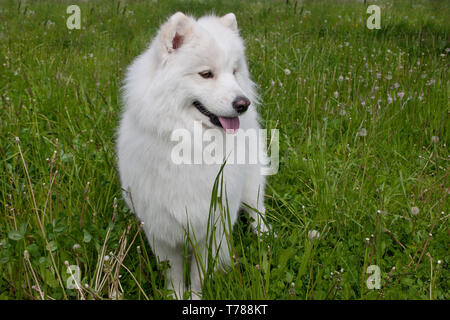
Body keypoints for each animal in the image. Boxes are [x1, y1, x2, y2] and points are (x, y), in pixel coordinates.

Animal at [118, 11, 268, 298]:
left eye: (233, 72)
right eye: (206, 74)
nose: (243, 103)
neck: (192, 145)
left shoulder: (212, 226)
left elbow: (200, 274)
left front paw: (196, 296)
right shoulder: (161, 230)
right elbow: (174, 273)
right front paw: (177, 294)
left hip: (250, 184)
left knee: (258, 207)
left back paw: (264, 234)